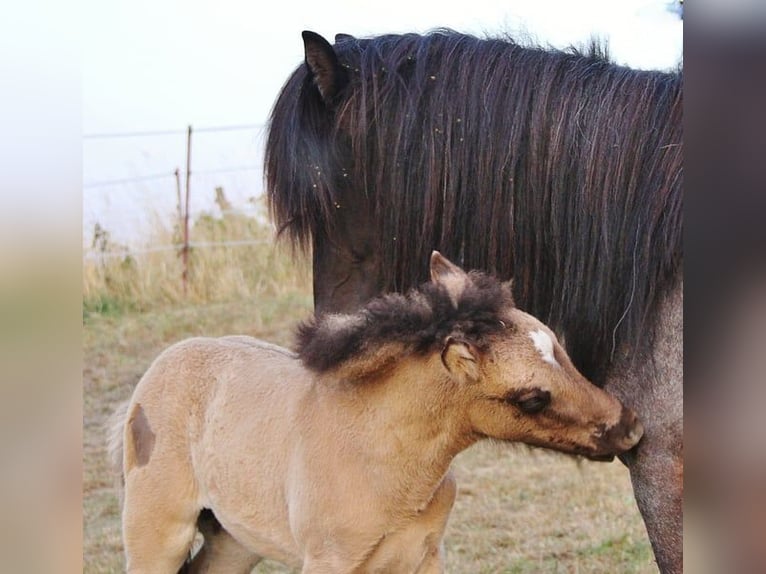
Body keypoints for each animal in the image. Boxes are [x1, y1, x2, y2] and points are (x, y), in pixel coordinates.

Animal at [109, 252, 643, 573]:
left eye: (560, 348)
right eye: (532, 397)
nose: (630, 427)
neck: (381, 454)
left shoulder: (423, 555)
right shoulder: (329, 562)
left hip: (234, 538)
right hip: (157, 531)